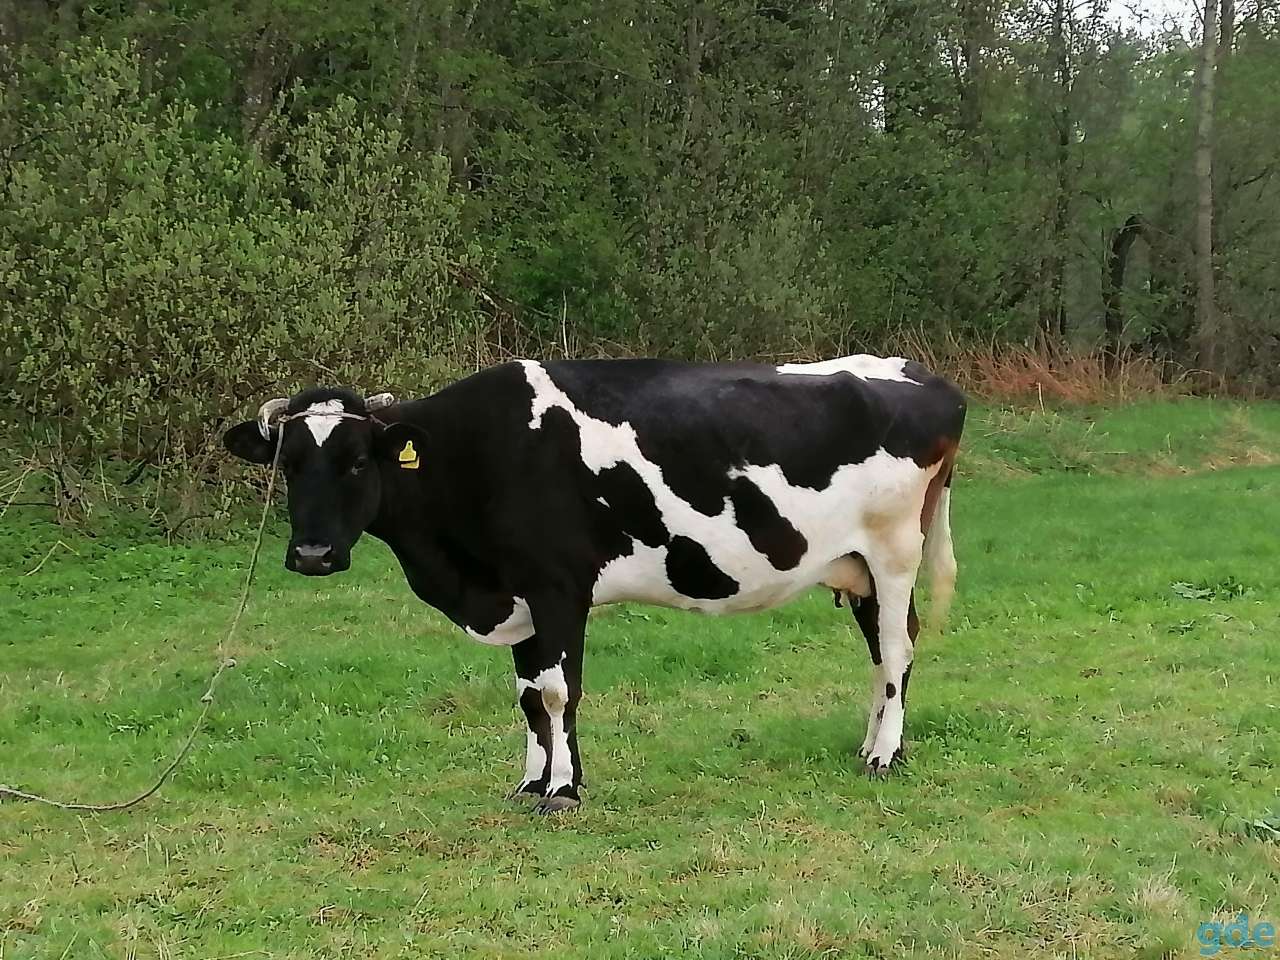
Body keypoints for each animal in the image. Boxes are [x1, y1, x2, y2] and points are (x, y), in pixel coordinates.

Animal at [223, 355, 965, 814]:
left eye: (355, 462)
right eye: (288, 463)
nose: (313, 554)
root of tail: (918, 375)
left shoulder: (559, 586)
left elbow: (558, 691)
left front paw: (565, 791)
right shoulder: (519, 596)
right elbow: (528, 696)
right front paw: (531, 783)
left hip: (895, 553)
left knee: (898, 650)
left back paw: (885, 757)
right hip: (857, 568)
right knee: (880, 653)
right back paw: (870, 744)